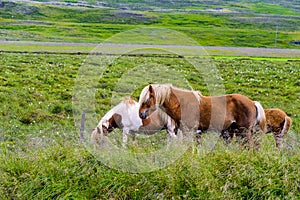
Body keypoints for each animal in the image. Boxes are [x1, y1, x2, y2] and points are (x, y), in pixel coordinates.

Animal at [138, 83, 268, 148]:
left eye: (147, 99)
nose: (141, 114)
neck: (182, 104)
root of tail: (252, 102)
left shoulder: (189, 131)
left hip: (244, 131)